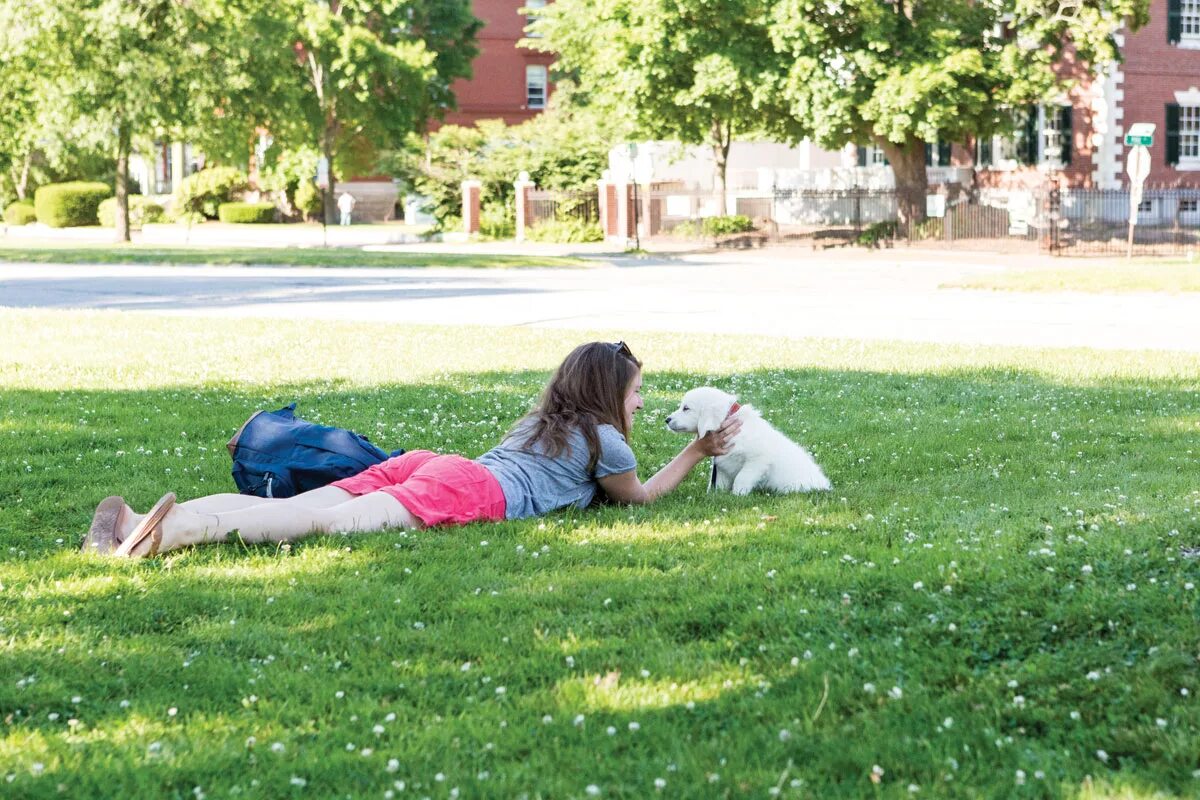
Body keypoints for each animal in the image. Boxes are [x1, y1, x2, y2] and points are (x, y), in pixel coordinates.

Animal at [662, 388, 830, 494]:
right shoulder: (722, 465)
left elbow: (741, 478)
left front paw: (738, 495)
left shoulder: (757, 460)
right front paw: (715, 495)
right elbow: (717, 483)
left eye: (686, 408)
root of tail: (824, 484)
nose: (667, 420)